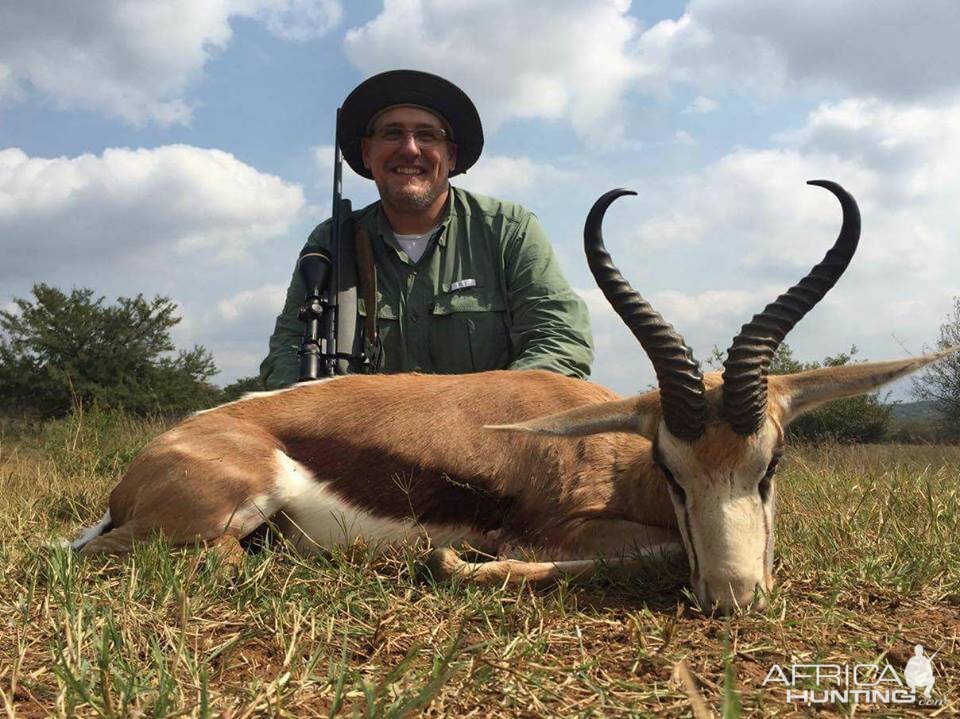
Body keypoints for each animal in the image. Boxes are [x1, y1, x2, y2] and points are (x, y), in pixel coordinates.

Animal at [73, 181, 952, 612]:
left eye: (771, 466)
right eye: (672, 471)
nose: (734, 598)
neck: (608, 454)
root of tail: (140, 471)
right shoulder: (561, 530)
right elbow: (649, 551)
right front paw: (451, 558)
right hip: (221, 514)